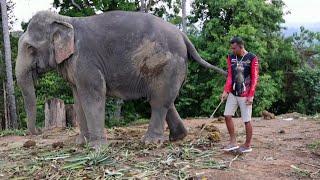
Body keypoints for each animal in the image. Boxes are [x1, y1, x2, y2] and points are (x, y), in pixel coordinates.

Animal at [16, 10, 226, 147]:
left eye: (30, 48)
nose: (39, 131)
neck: (65, 20)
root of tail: (184, 35)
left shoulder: (86, 61)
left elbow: (94, 94)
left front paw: (96, 148)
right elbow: (78, 99)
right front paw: (80, 144)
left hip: (167, 64)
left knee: (158, 101)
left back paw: (150, 143)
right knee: (165, 99)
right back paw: (178, 137)